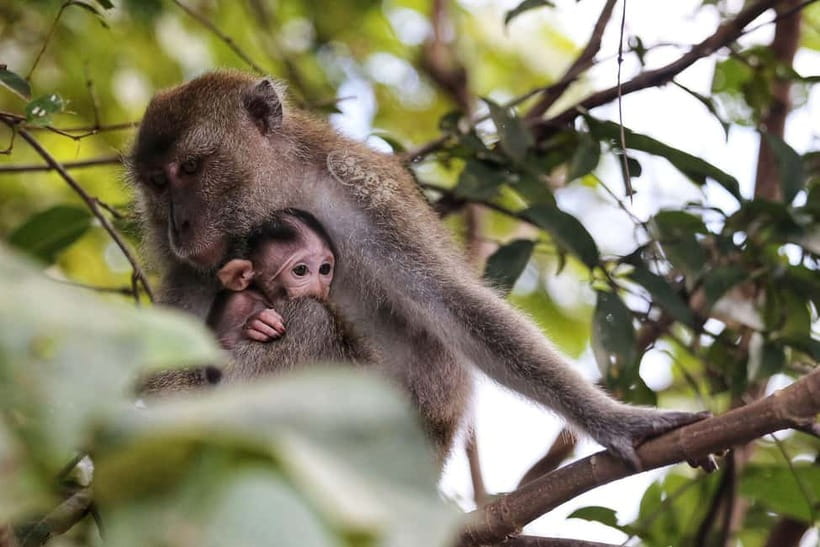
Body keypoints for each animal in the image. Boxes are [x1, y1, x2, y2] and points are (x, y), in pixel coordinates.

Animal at [129, 70, 706, 468]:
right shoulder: (196, 265)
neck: (277, 194)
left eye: (190, 169)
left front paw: (618, 422)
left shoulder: (365, 197)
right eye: (157, 182)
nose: (179, 225)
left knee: (304, 320)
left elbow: (452, 304)